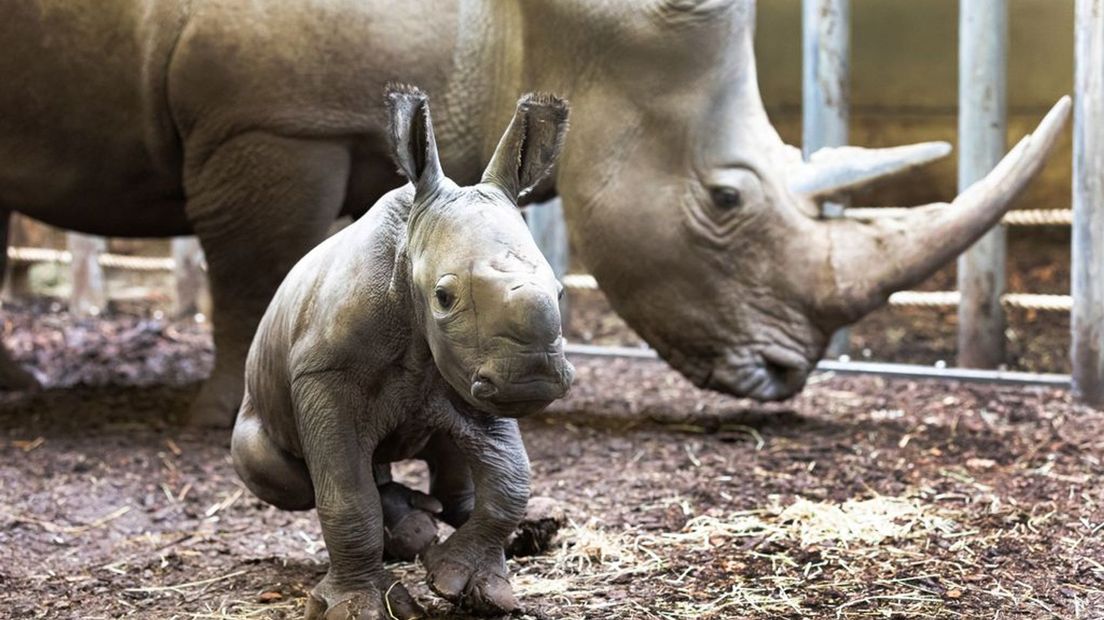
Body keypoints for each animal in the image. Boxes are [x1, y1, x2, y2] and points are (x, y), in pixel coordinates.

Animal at [0, 0, 1068, 423]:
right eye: (724, 199)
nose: (784, 375)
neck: (552, 22)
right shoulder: (271, 115)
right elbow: (258, 272)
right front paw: (224, 415)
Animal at [229, 83, 574, 617]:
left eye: (559, 291)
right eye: (443, 297)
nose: (533, 378)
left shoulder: (472, 371)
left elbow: (511, 478)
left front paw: (472, 587)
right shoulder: (324, 375)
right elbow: (347, 495)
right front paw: (364, 607)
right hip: (257, 408)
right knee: (285, 476)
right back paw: (413, 527)